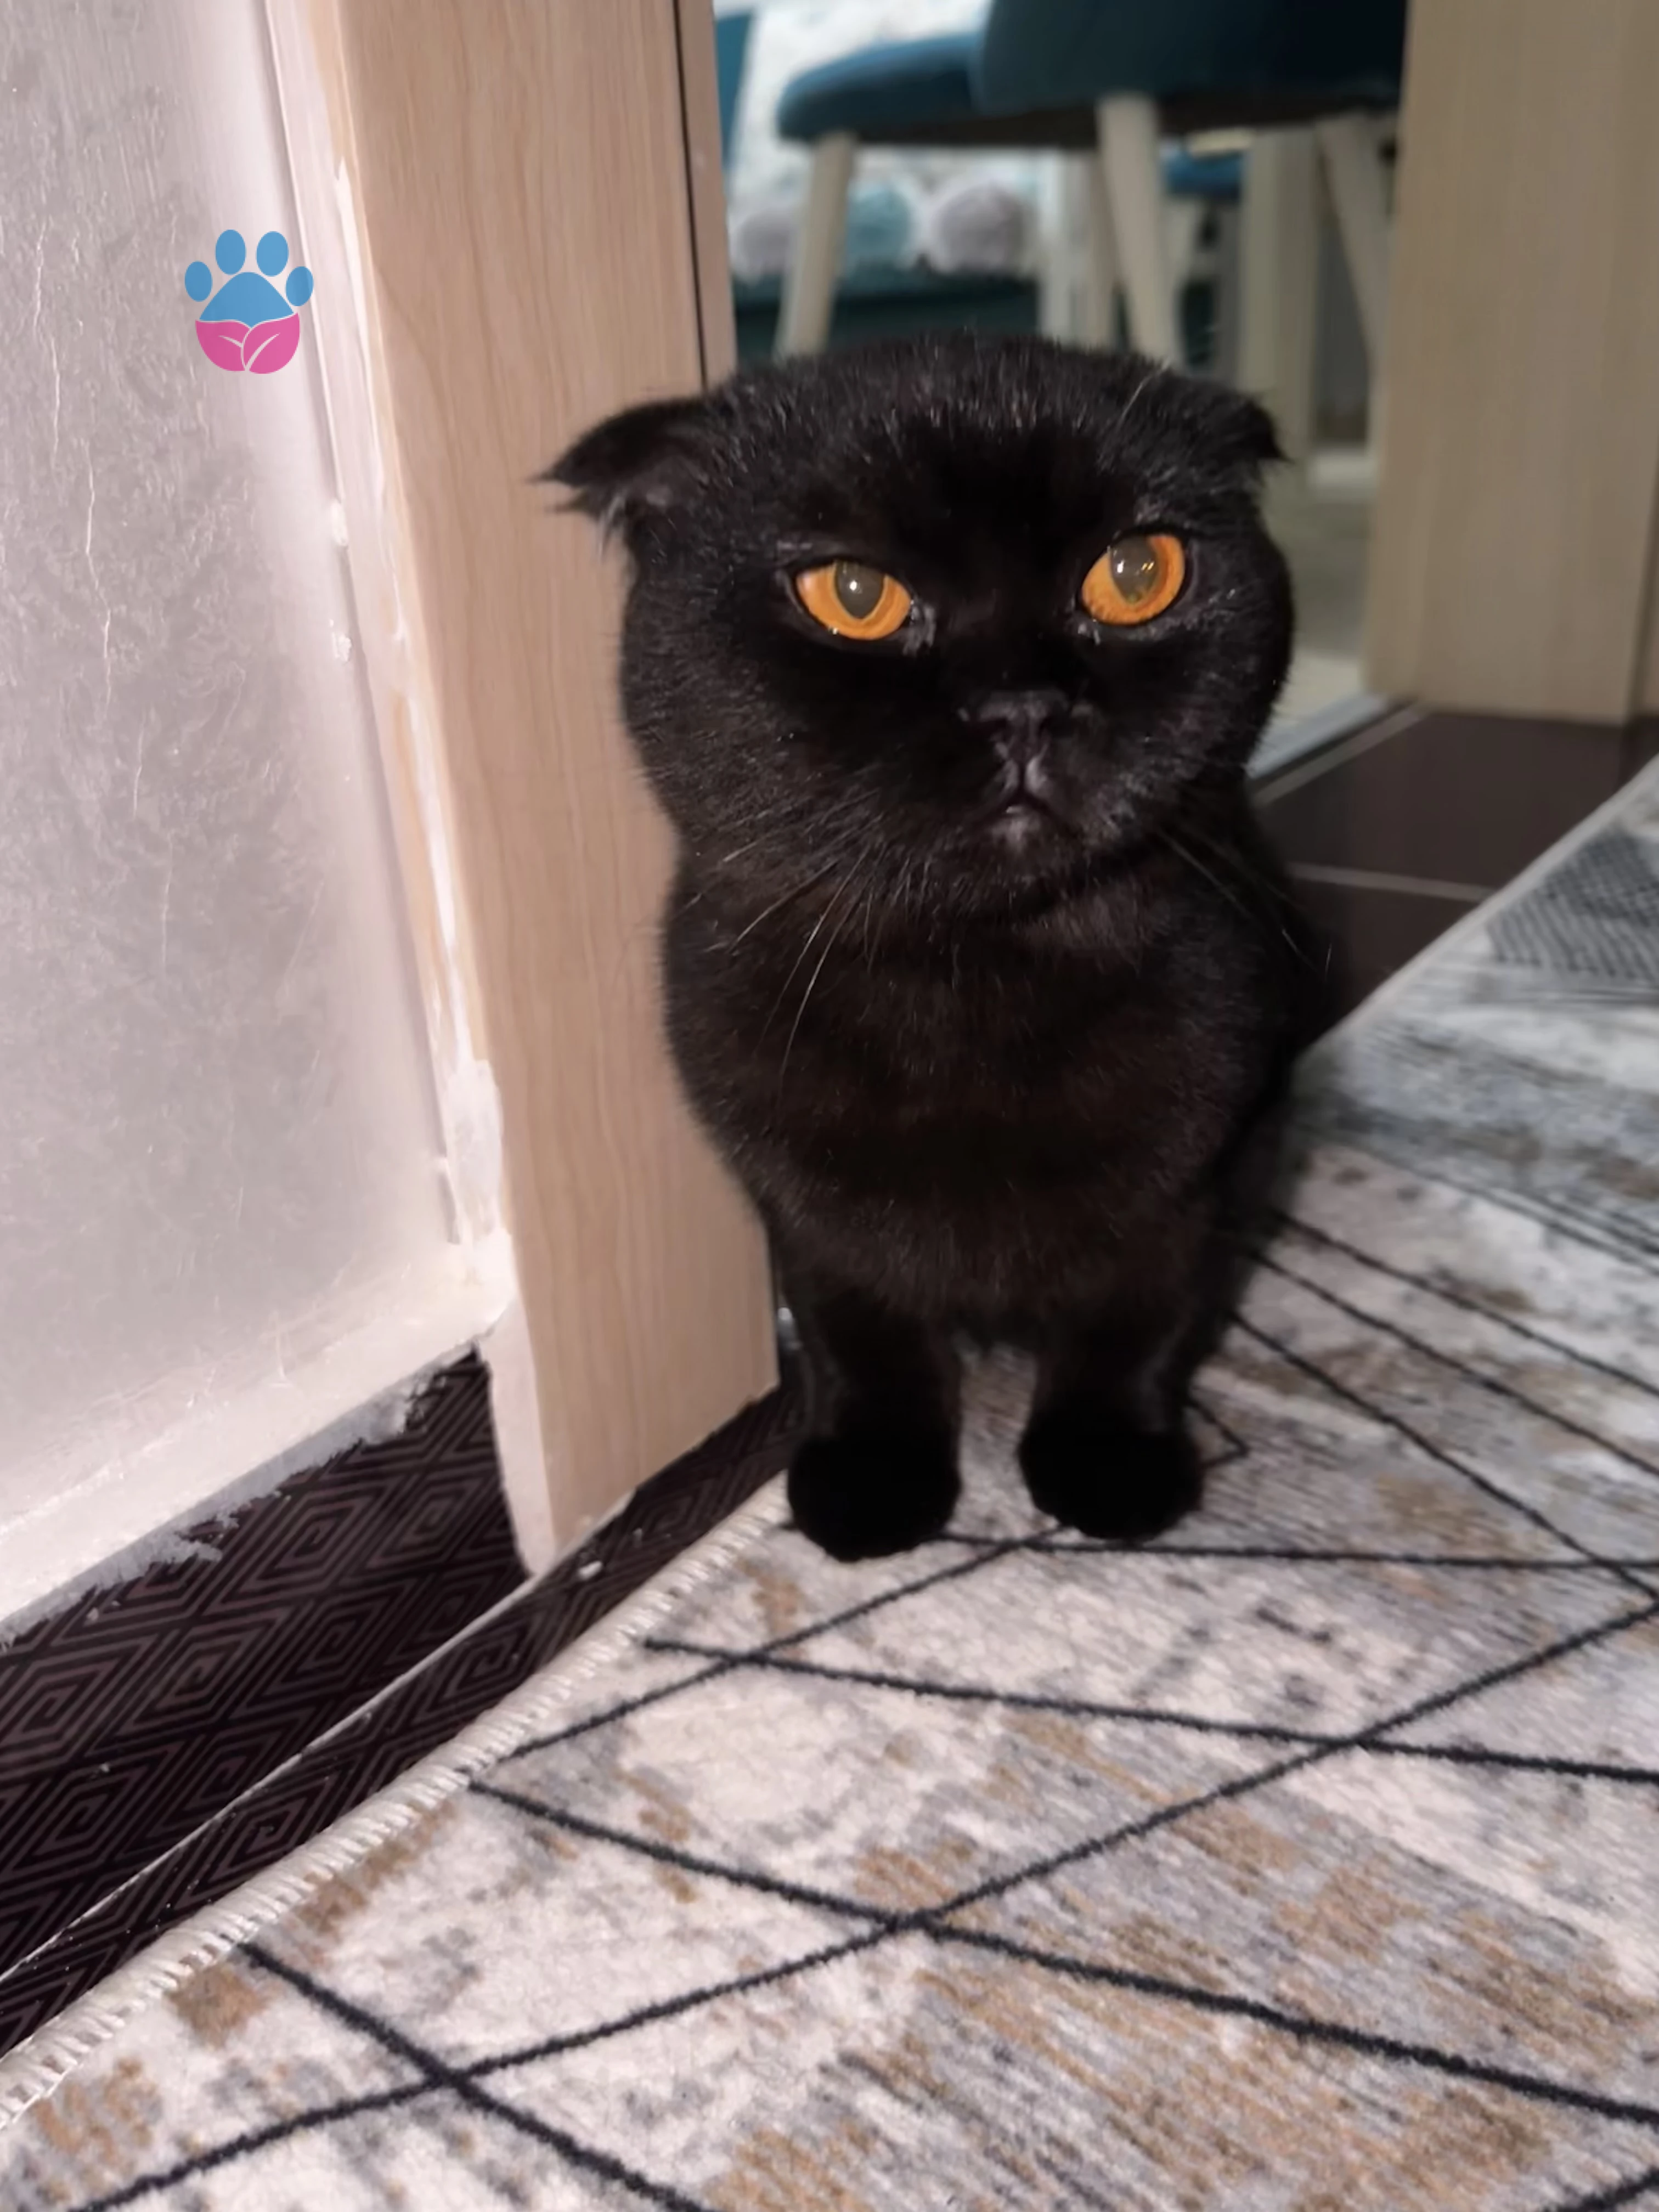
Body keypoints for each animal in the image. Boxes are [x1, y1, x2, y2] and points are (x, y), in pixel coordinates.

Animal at [550, 334, 1325, 1562]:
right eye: (855, 595)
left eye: (1136, 574)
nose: (1023, 707)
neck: (973, 982)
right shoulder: (802, 1201)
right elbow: (863, 1338)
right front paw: (873, 1481)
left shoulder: (1193, 1178)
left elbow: (1133, 1328)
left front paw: (1107, 1466)